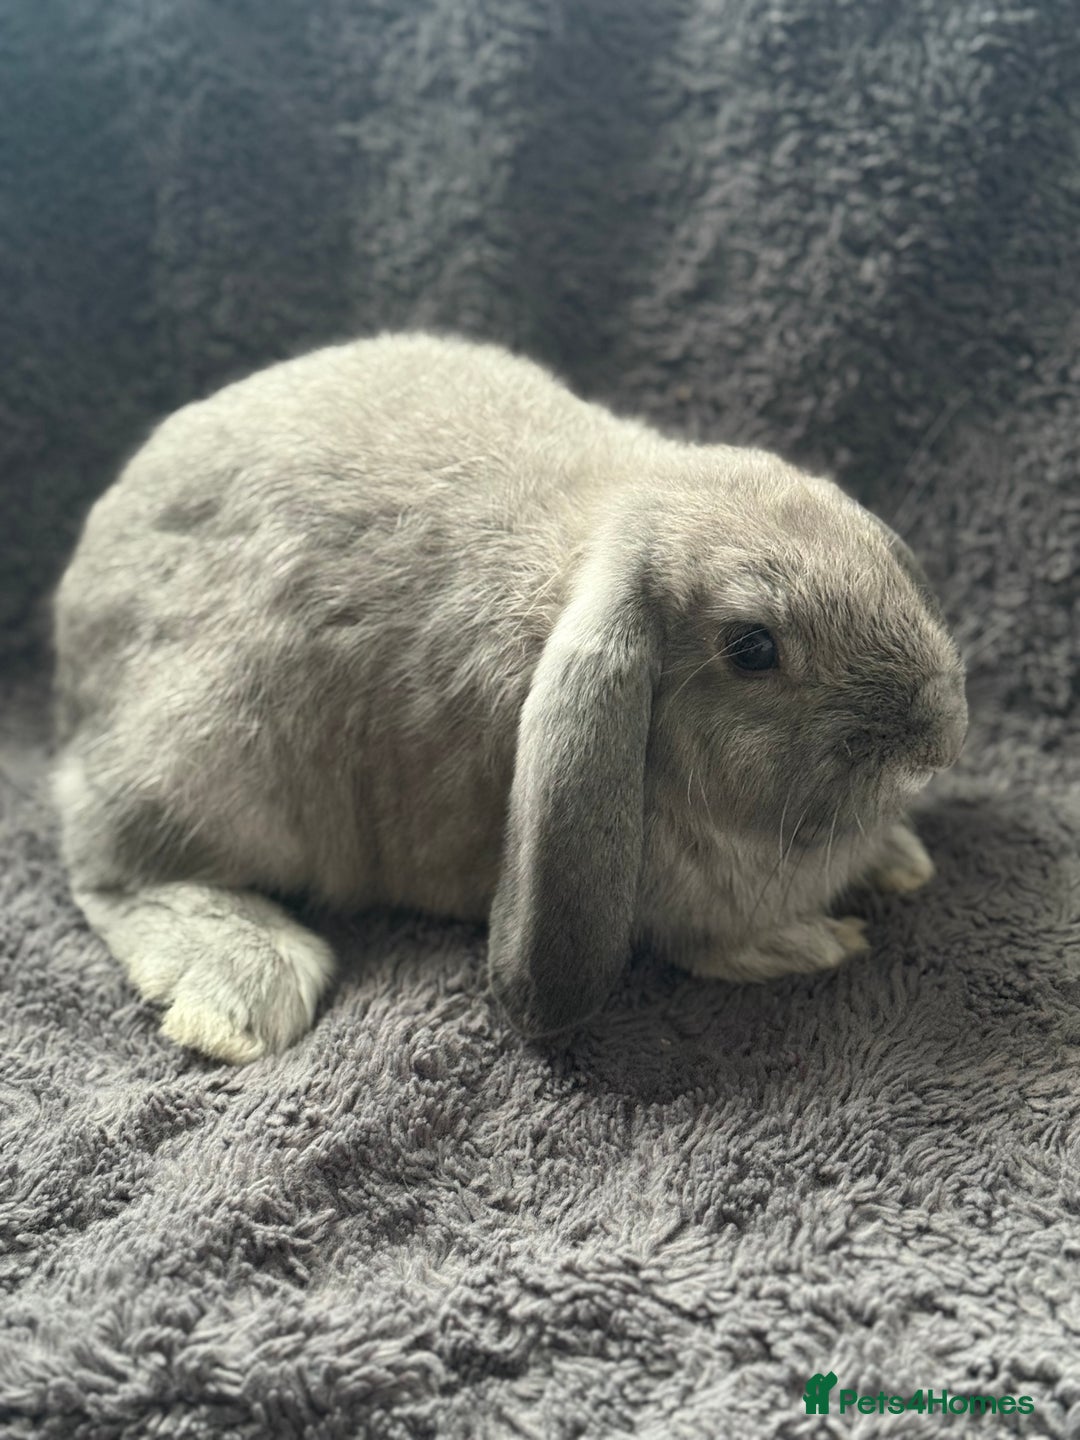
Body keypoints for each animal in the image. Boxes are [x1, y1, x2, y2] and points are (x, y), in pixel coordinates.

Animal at [52, 332, 968, 1062]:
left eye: (881, 554)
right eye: (753, 648)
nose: (935, 743)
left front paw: (901, 860)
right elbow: (714, 946)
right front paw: (813, 942)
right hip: (218, 751)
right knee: (109, 866)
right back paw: (249, 985)